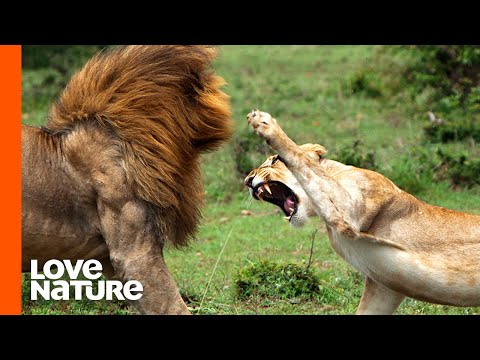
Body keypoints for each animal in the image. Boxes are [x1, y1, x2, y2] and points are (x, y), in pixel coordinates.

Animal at [246, 109, 480, 316]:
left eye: (274, 161)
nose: (248, 180)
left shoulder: (351, 210)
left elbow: (301, 160)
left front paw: (264, 123)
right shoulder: (385, 287)